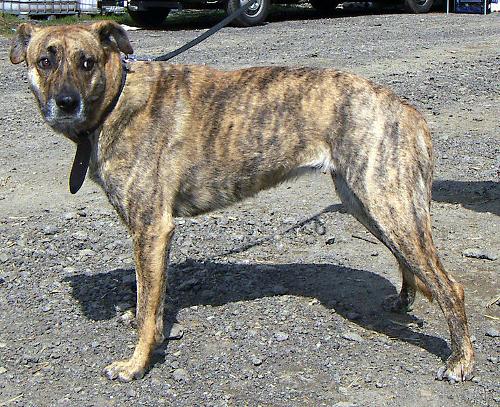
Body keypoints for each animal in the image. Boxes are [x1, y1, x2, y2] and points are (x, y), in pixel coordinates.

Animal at [9, 20, 474, 384]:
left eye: (86, 62)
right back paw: (405, 299)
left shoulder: (151, 228)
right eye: (45, 61)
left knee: (450, 286)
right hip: (368, 203)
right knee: (410, 264)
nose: (66, 103)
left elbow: (147, 306)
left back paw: (461, 360)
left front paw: (136, 364)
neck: (118, 97)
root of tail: (407, 109)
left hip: (387, 203)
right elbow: (149, 300)